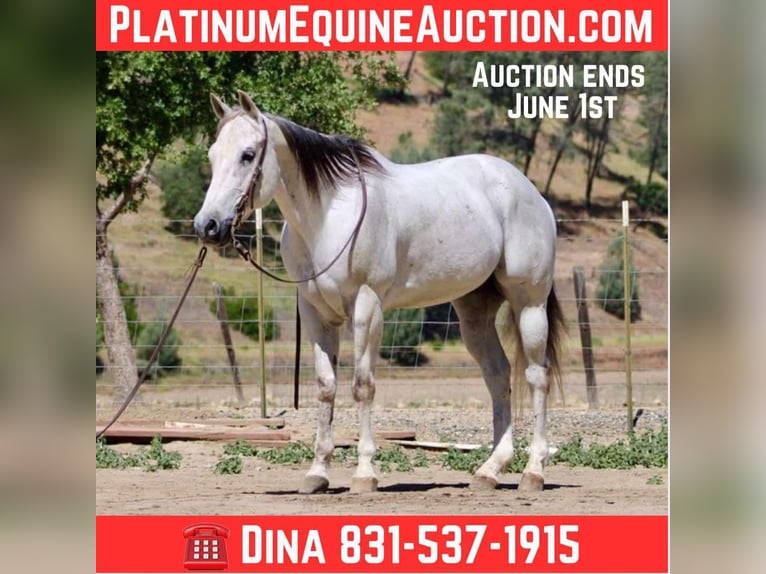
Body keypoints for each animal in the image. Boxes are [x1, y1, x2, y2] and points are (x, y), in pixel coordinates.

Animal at [194, 90, 565, 494]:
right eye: (212, 155)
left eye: (247, 155)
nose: (207, 226)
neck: (328, 216)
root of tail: (531, 193)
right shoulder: (315, 313)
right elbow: (326, 387)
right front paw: (317, 473)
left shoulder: (366, 306)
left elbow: (362, 386)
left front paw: (364, 474)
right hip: (474, 313)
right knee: (498, 376)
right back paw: (489, 471)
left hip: (528, 304)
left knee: (536, 376)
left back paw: (533, 471)